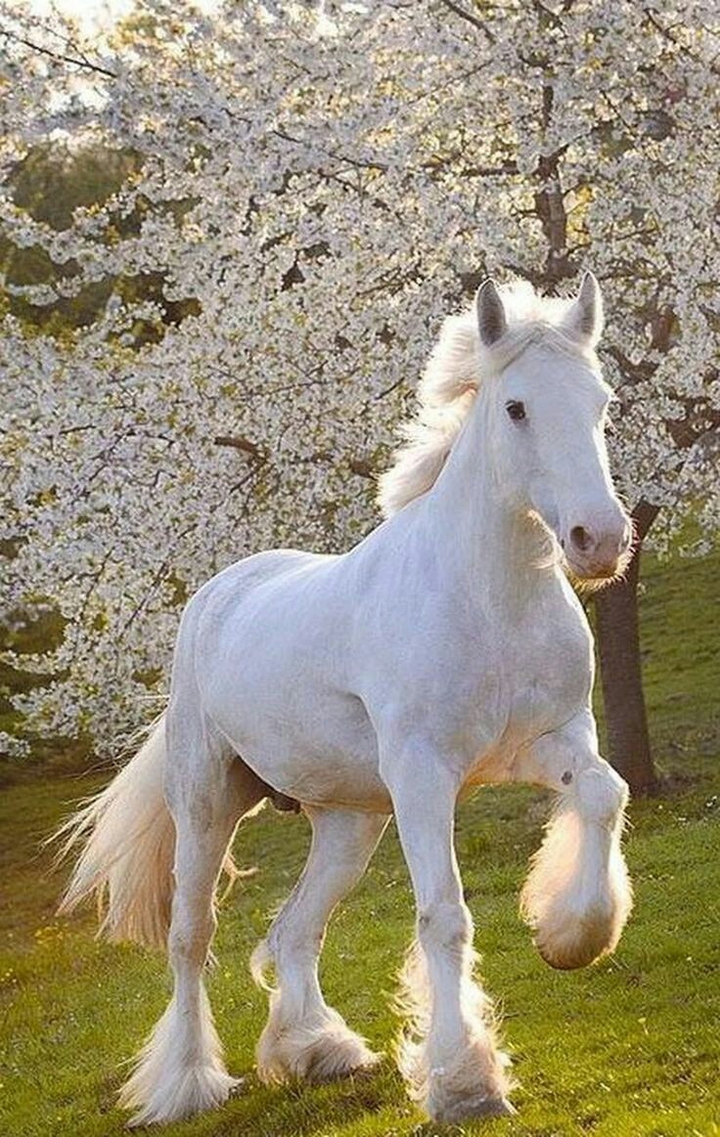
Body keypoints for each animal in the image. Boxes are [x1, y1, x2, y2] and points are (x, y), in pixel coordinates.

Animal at [58, 272, 634, 1126]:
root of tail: (217, 594)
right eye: (516, 407)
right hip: (207, 804)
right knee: (190, 937)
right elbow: (444, 915)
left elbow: (603, 793)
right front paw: (464, 1082)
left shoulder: (554, 739)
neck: (491, 597)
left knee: (293, 929)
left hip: (348, 820)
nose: (600, 539)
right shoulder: (426, 774)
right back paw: (186, 1084)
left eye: (601, 401)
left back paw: (314, 1050)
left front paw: (571, 936)